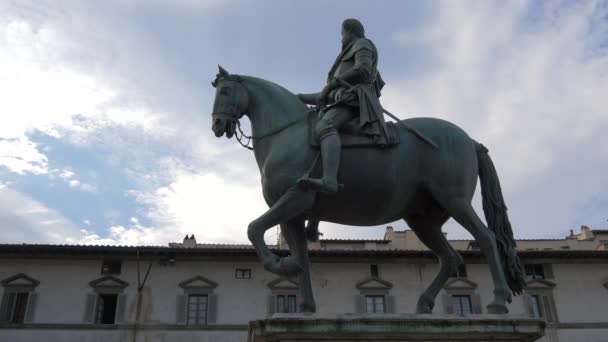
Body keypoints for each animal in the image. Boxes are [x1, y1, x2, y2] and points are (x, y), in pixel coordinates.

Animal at [209, 66, 524, 316]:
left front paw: (279, 264)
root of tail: (470, 140)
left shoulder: (295, 200)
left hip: (455, 200)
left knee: (486, 239)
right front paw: (304, 305)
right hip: (423, 219)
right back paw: (424, 303)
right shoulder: (293, 216)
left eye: (225, 91)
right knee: (450, 258)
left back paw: (498, 301)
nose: (217, 125)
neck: (287, 134)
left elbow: (253, 228)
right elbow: (303, 259)